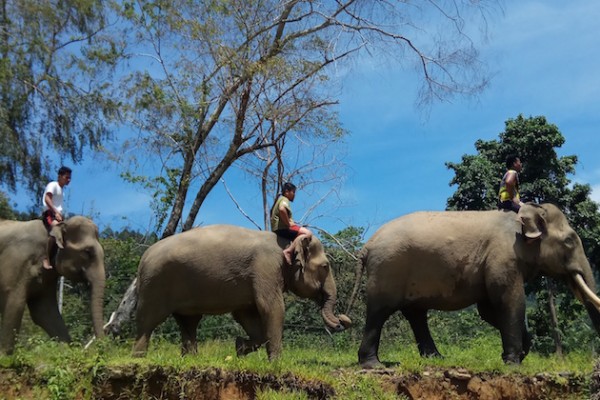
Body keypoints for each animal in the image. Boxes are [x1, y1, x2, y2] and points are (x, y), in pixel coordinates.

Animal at [0, 216, 105, 354]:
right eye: (87, 252)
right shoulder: (17, 260)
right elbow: (14, 303)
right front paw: (4, 356)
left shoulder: (47, 277)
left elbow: (44, 311)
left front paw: (67, 352)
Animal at [131, 225, 352, 360]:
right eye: (325, 266)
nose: (342, 320)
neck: (287, 241)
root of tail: (143, 258)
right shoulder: (266, 268)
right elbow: (272, 308)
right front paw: (276, 363)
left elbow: (245, 313)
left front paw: (238, 348)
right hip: (154, 285)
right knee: (148, 320)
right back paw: (139, 359)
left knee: (189, 322)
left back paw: (191, 359)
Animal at [352, 203, 600, 368]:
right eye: (569, 241)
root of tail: (367, 245)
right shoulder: (503, 256)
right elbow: (509, 302)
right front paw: (513, 364)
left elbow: (488, 310)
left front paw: (514, 356)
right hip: (388, 268)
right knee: (380, 311)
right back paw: (374, 365)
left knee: (416, 313)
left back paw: (437, 358)